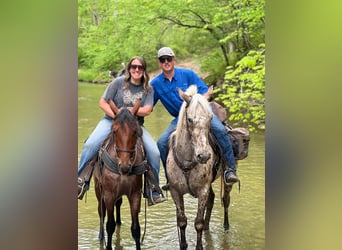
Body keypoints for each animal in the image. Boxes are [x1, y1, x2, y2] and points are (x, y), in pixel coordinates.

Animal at [93, 99, 146, 250]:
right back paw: (101, 236)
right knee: (101, 211)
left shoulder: (135, 194)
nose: (125, 165)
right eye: (114, 131)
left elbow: (136, 229)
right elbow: (109, 225)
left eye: (135, 131)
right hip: (98, 189)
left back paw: (119, 222)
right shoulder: (109, 194)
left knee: (118, 205)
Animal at [167, 85, 234, 249]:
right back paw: (208, 227)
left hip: (226, 180)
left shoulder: (202, 190)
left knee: (225, 200)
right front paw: (183, 244)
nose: (203, 156)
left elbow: (198, 222)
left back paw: (226, 226)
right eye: (190, 119)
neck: (186, 161)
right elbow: (182, 221)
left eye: (210, 118)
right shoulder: (175, 191)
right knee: (212, 199)